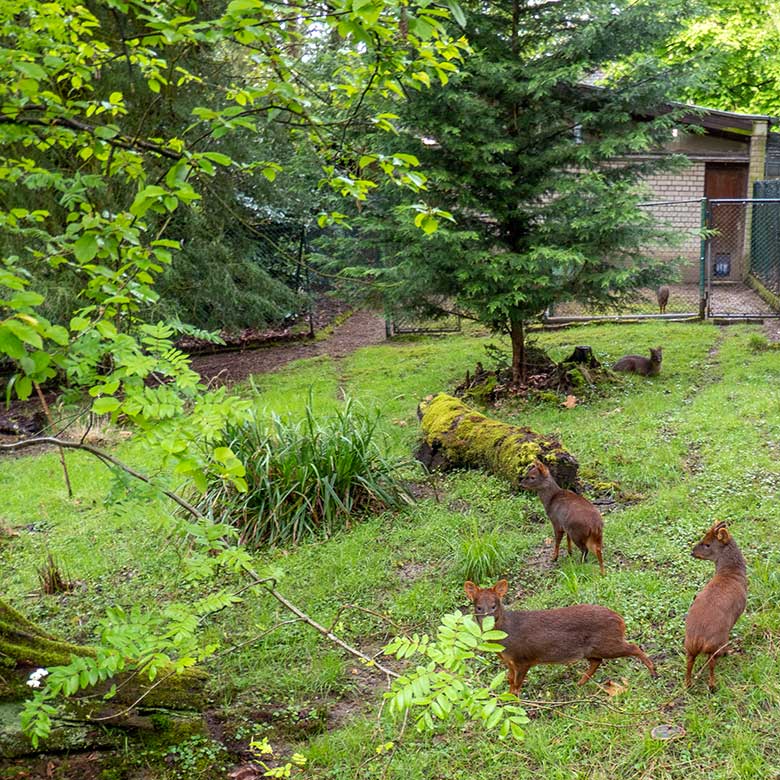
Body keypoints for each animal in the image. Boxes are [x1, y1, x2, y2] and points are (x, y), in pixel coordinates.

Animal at [464, 580, 660, 696]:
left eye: (494, 605)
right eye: (478, 607)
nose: (488, 619)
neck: (504, 640)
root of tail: (620, 619)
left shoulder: (523, 659)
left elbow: (516, 684)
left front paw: (514, 702)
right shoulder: (509, 661)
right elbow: (510, 680)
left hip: (607, 643)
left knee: (633, 647)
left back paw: (653, 672)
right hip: (592, 649)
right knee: (597, 661)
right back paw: (579, 683)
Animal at [684, 520, 748, 692]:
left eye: (707, 544)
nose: (692, 552)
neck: (731, 573)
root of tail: (698, 639)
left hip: (689, 646)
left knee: (689, 662)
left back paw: (688, 684)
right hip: (716, 643)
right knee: (712, 664)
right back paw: (713, 685)